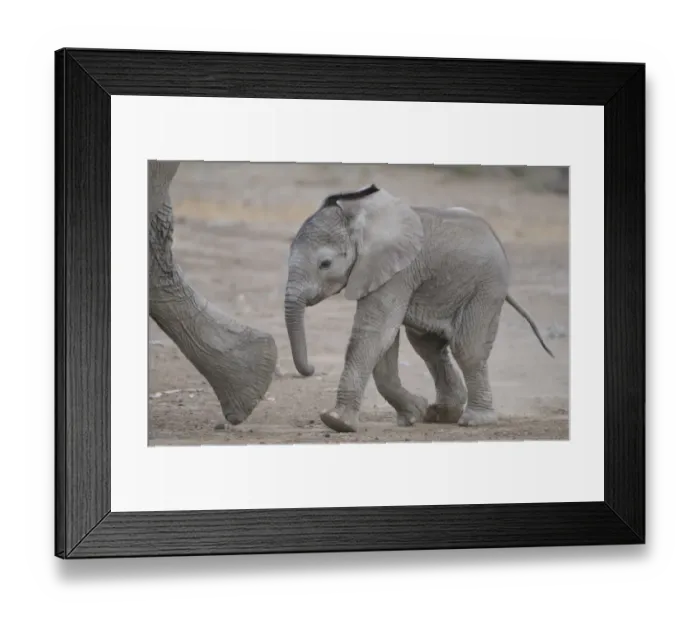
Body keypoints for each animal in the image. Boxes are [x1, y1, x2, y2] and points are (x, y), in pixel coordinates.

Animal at [283, 183, 553, 434]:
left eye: (325, 264)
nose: (311, 369)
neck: (361, 218)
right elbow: (385, 339)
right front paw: (414, 413)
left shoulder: (398, 271)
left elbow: (375, 333)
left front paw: (336, 422)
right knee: (428, 346)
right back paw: (441, 414)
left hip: (486, 288)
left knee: (468, 349)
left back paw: (475, 420)